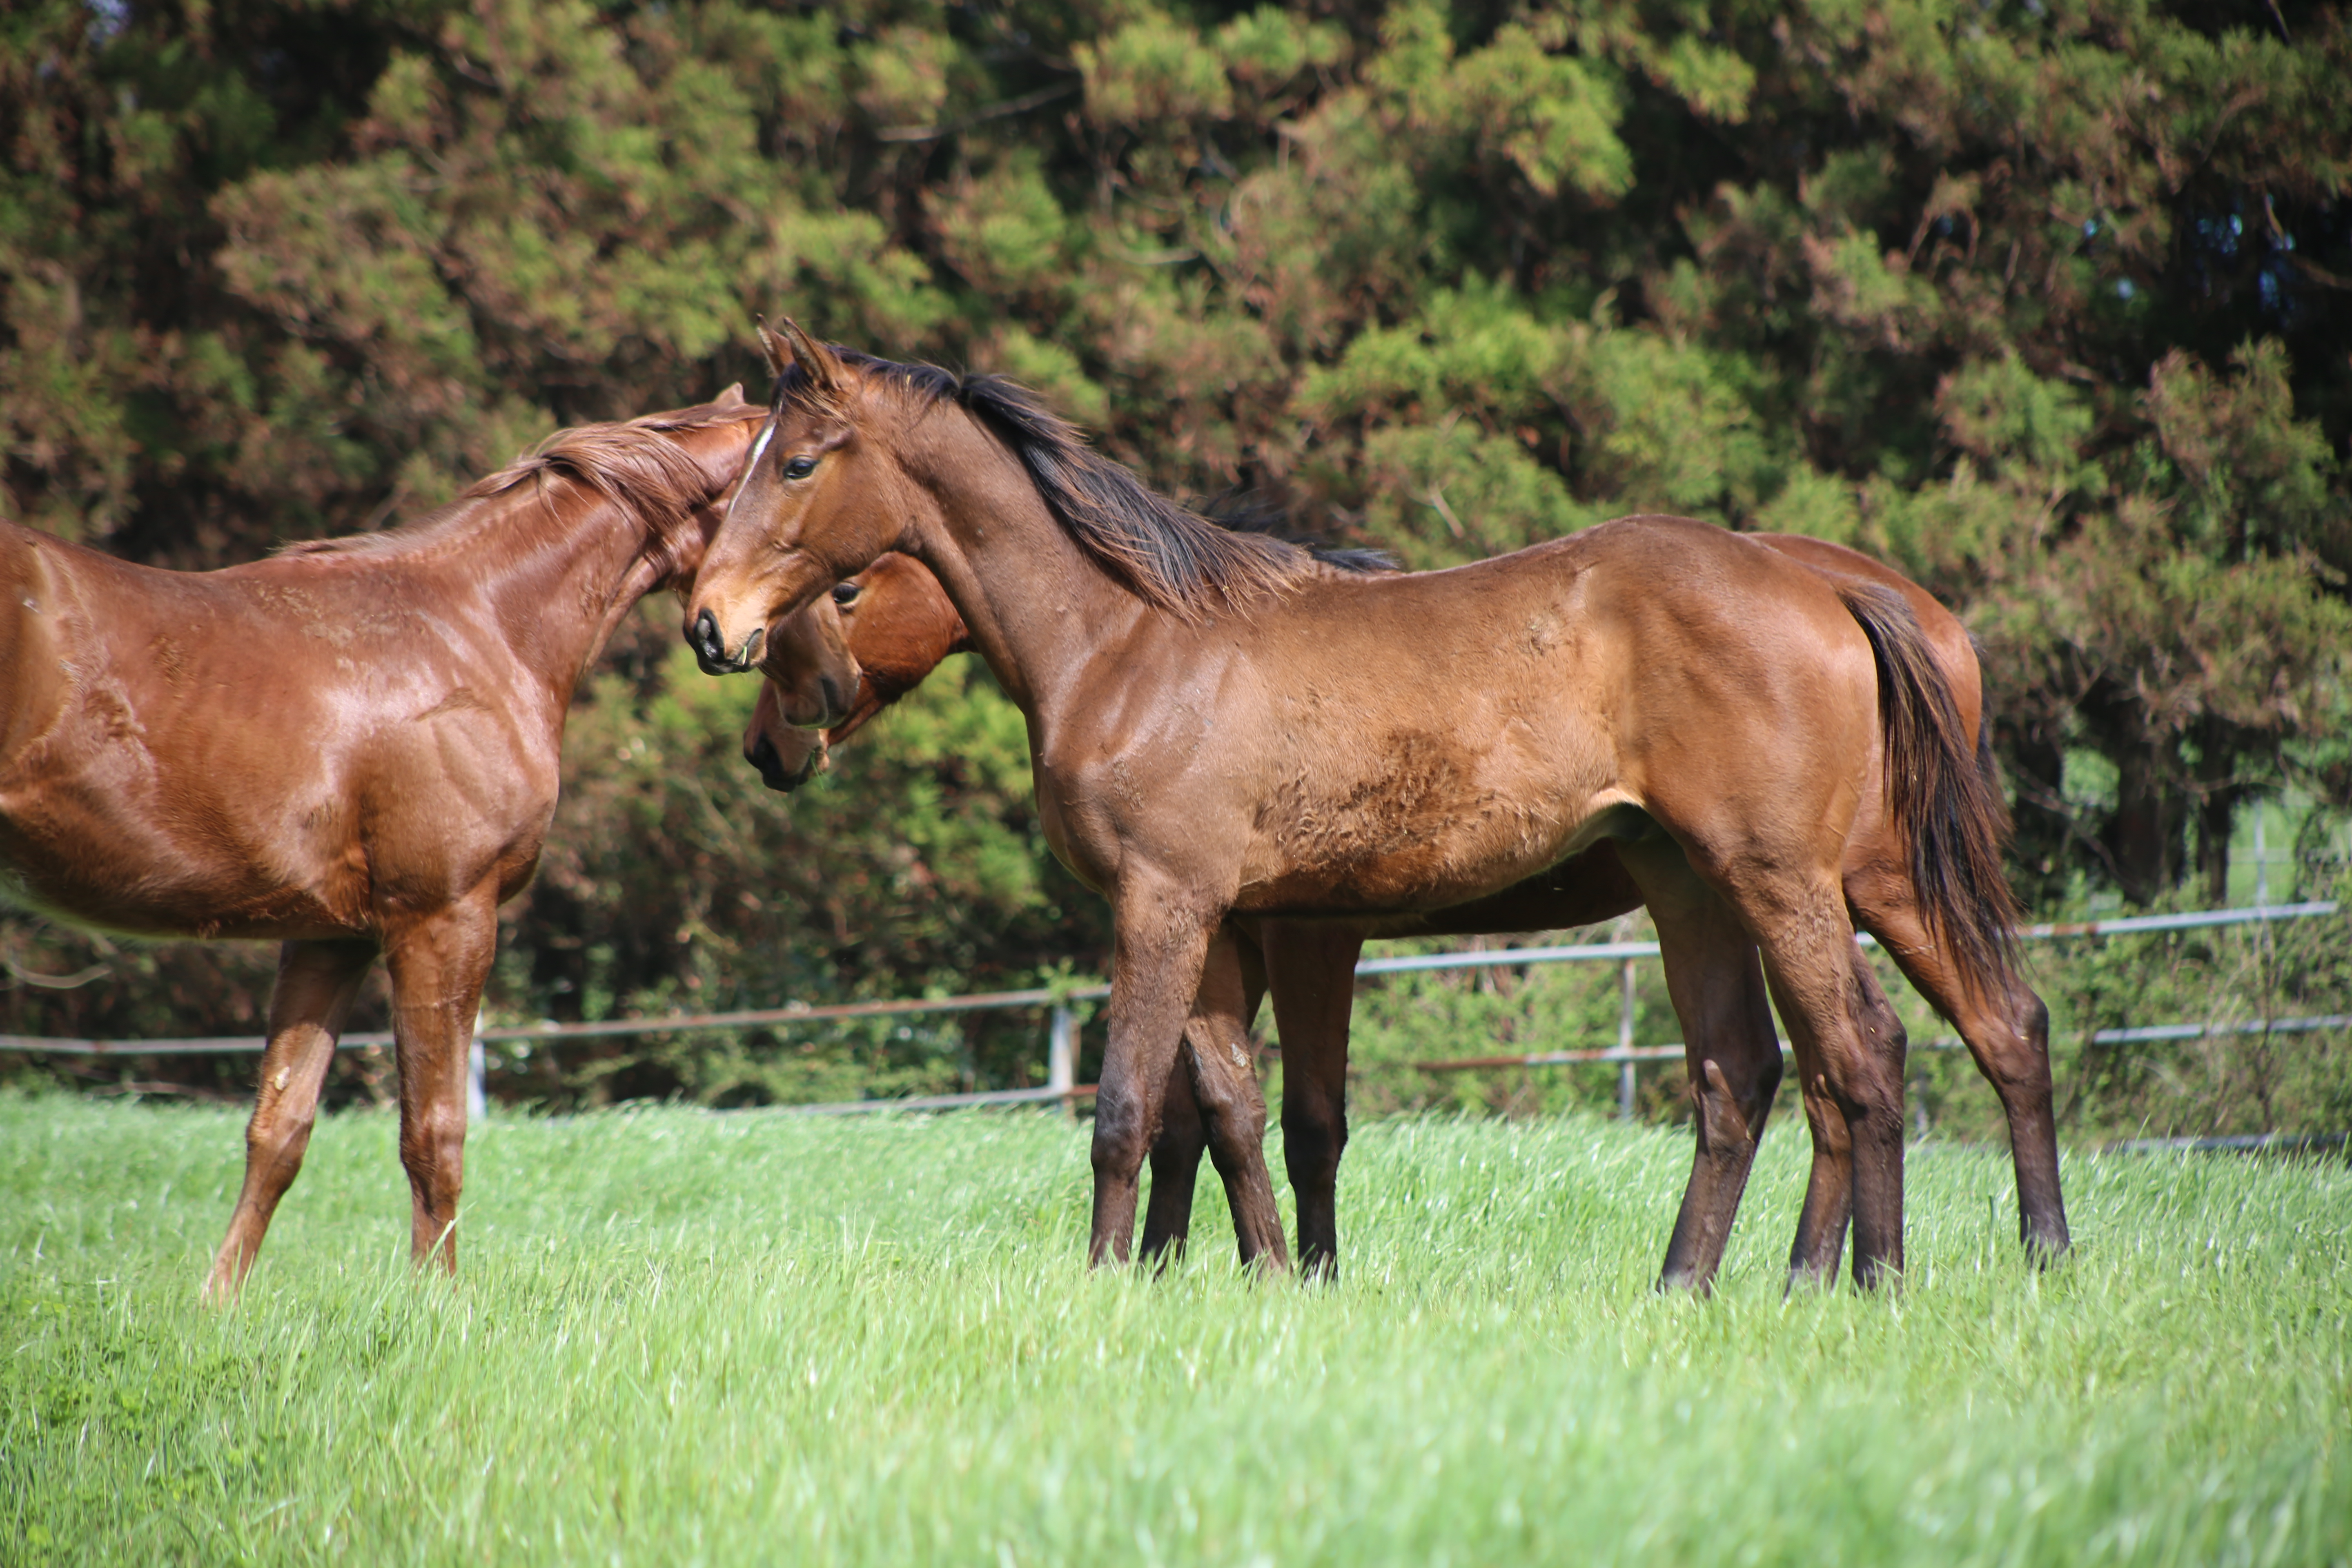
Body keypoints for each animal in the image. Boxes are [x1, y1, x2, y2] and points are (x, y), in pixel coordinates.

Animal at [0, 392, 865, 1297]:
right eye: (837, 572)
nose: (832, 698)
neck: (477, 628)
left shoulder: (328, 939)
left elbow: (279, 1130)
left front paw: (220, 1306)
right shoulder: (444, 919)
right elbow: (435, 1132)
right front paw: (438, 1304)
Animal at [686, 324, 2060, 1297]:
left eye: (798, 467)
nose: (713, 631)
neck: (1132, 646)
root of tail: (1835, 592)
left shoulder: (1176, 907)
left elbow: (1137, 1111)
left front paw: (1107, 1287)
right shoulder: (1230, 924)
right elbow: (1236, 1112)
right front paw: (1268, 1280)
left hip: (1791, 876)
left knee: (1877, 1051)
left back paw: (1879, 1284)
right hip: (1699, 887)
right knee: (1762, 1070)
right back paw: (1702, 1288)